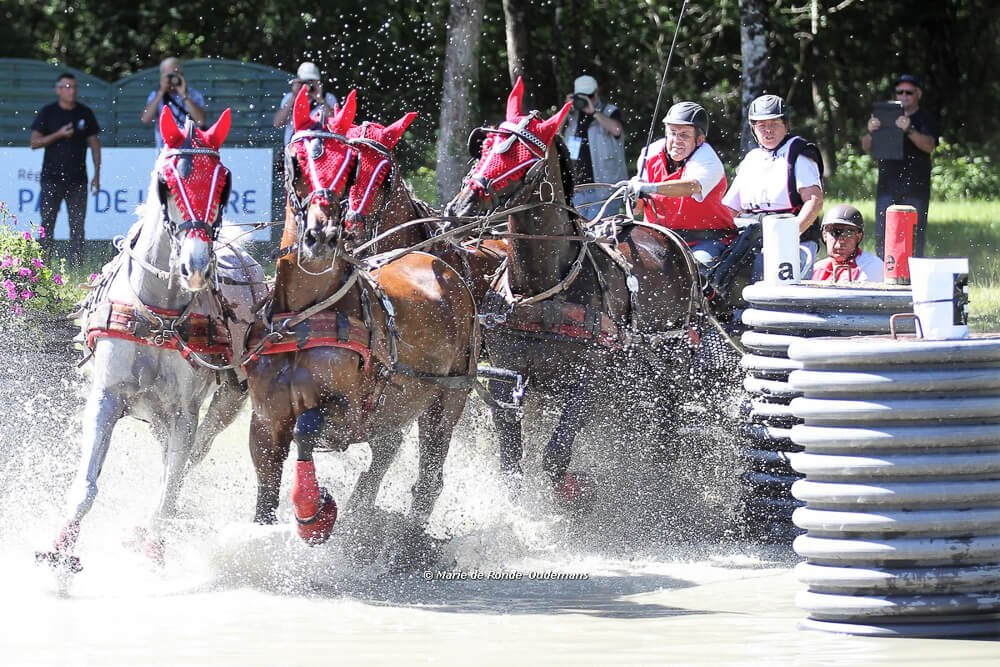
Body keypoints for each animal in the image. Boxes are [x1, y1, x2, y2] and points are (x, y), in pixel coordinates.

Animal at [36, 107, 267, 574]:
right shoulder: (106, 397)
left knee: (191, 457)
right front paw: (61, 550)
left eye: (224, 181)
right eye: (166, 180)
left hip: (227, 399)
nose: (196, 265)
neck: (158, 314)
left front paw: (154, 547)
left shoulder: (184, 411)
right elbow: (87, 484)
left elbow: (170, 487)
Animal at [243, 86, 479, 552]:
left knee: (429, 479)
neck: (303, 319)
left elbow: (307, 428)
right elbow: (264, 498)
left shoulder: (347, 417)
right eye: (295, 162)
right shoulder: (264, 424)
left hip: (447, 401)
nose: (322, 236)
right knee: (386, 454)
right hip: (399, 407)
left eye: (350, 168)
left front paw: (313, 515)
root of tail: (443, 265)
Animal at [444, 77, 705, 500]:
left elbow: (555, 455)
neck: (544, 287)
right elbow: (511, 461)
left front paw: (575, 494)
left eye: (524, 159)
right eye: (483, 148)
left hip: (669, 361)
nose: (460, 207)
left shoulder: (588, 382)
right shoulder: (504, 378)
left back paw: (660, 484)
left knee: (668, 421)